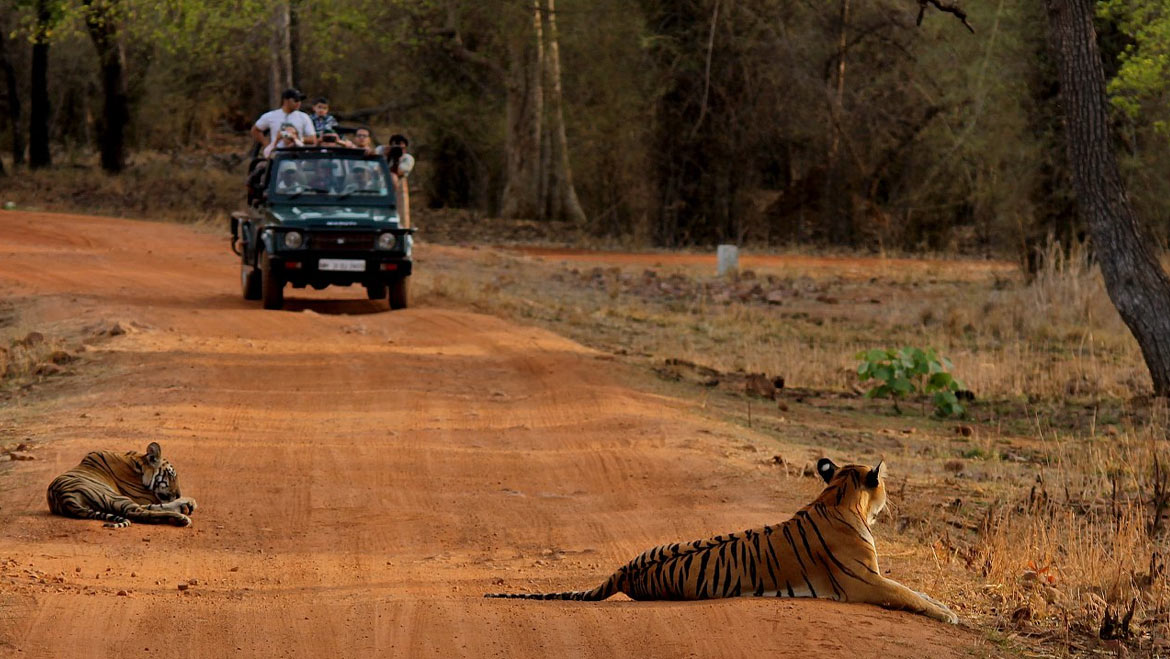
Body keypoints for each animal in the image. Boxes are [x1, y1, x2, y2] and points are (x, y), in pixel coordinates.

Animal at [47, 440, 197, 529]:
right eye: (171, 475)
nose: (178, 494)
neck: (137, 466)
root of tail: (65, 498)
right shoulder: (144, 497)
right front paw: (188, 502)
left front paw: (188, 503)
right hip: (112, 495)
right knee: (137, 512)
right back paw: (181, 518)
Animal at [484, 458, 959, 622]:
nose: (889, 500)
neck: (836, 496)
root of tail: (623, 570)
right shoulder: (865, 582)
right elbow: (909, 594)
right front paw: (950, 615)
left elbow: (915, 590)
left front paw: (945, 606)